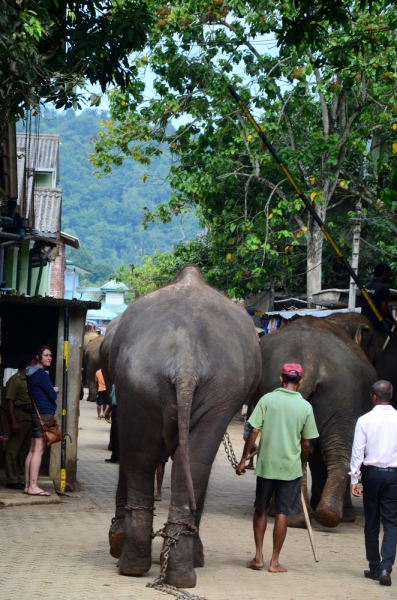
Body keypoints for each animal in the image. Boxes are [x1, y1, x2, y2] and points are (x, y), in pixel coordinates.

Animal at [106, 270, 262, 588]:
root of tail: (186, 362)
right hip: (159, 382)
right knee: (174, 459)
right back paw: (162, 570)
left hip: (151, 382)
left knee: (148, 456)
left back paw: (146, 568)